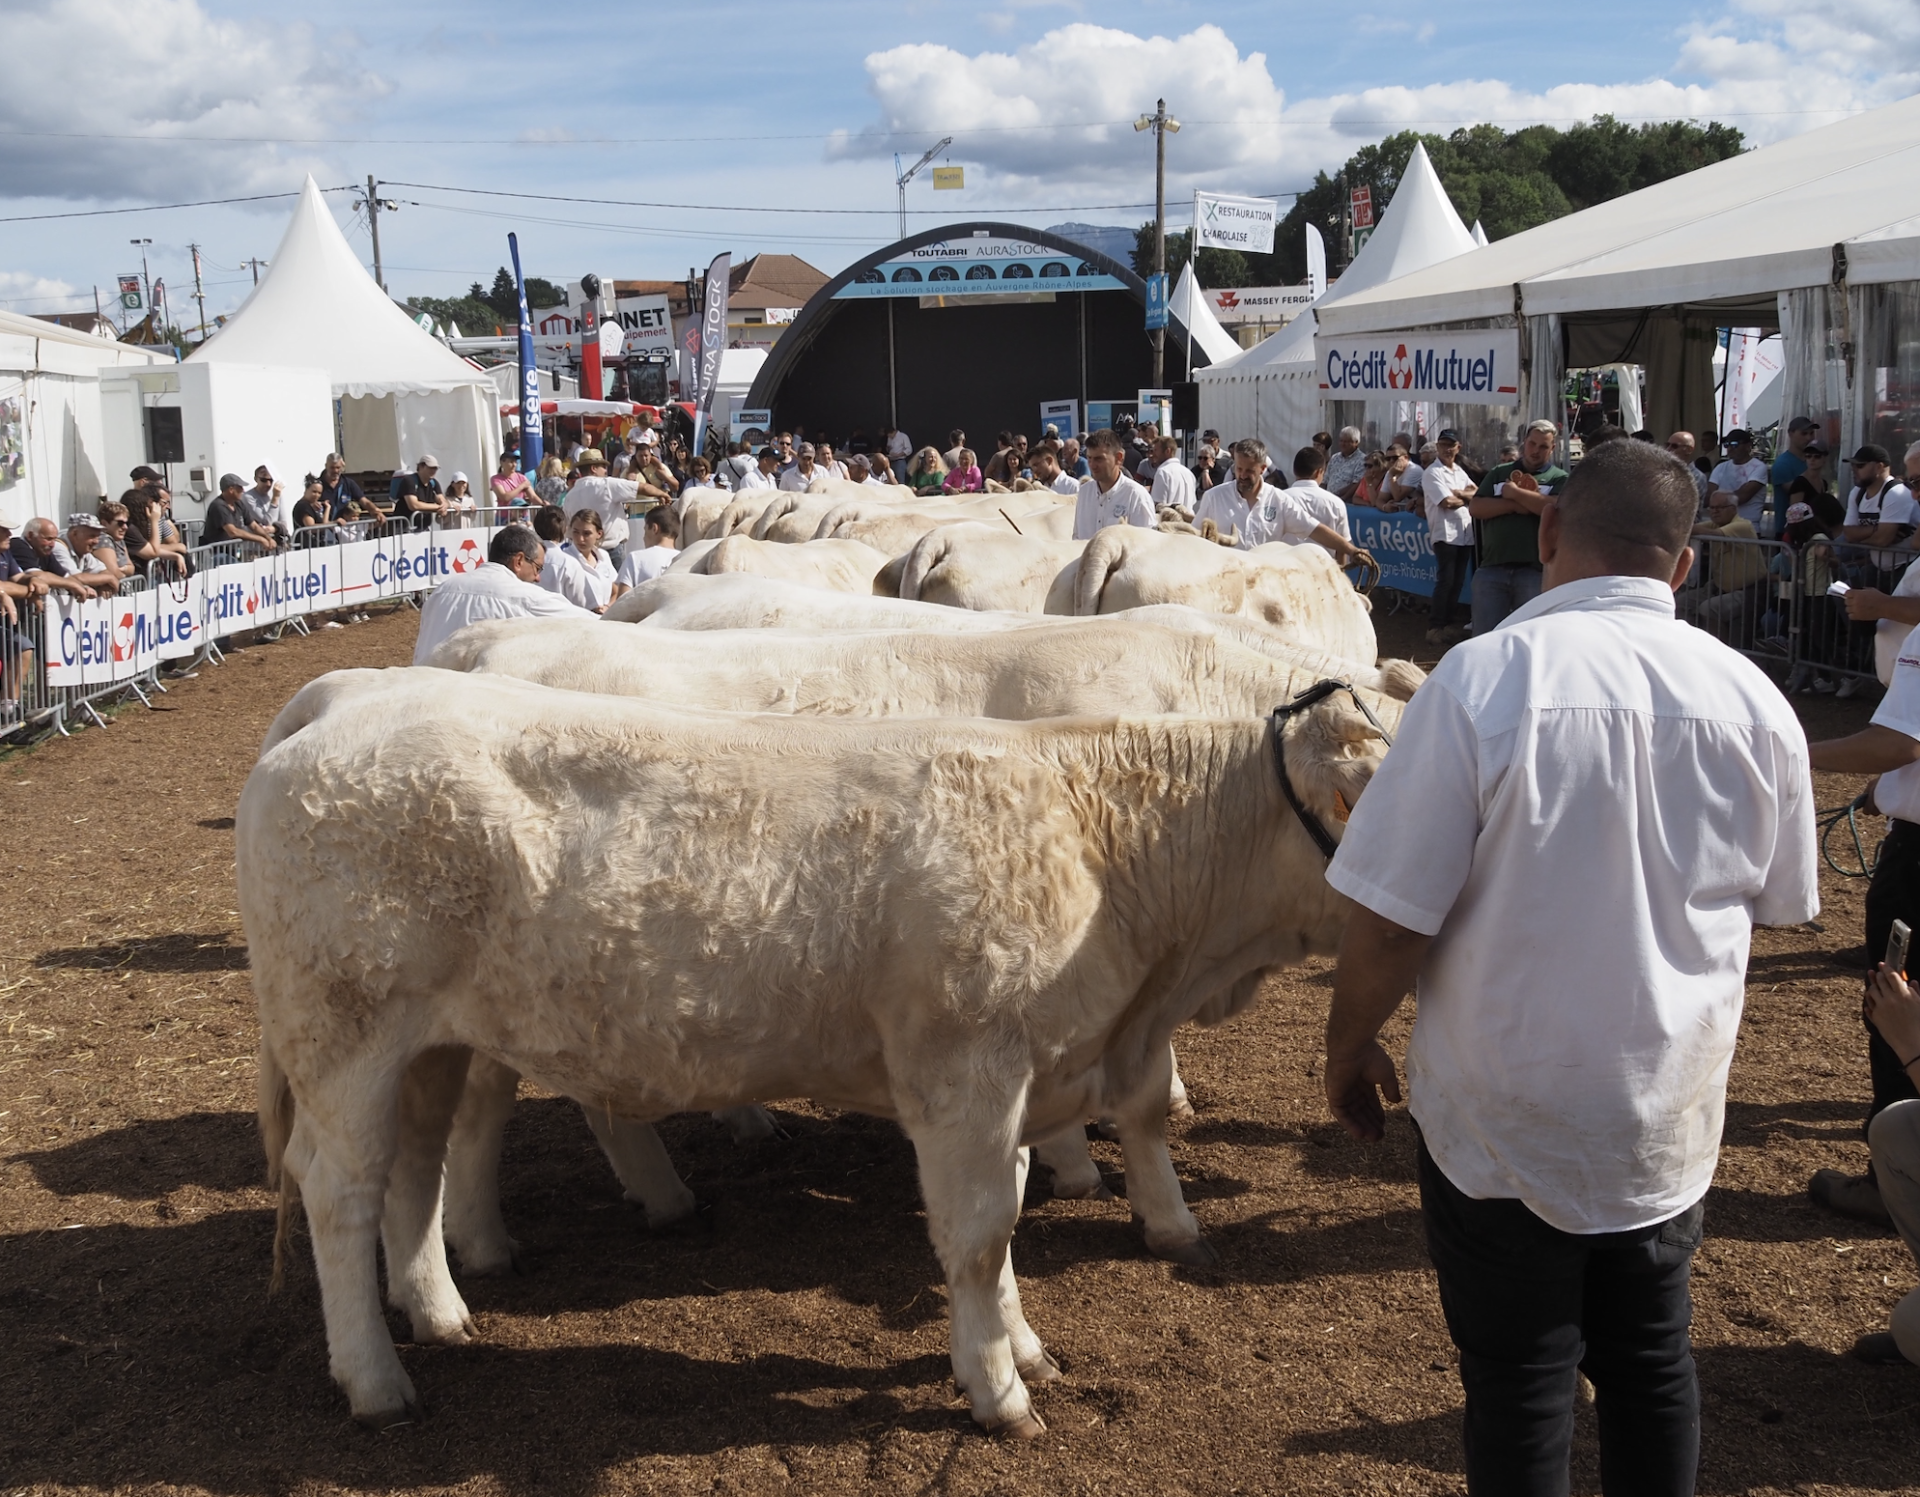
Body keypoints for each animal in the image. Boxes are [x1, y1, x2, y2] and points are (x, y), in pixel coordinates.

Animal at [243, 671, 1382, 1435]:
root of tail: (352, 695)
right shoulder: (966, 1071)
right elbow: (978, 1234)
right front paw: (998, 1389)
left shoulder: (1020, 1075)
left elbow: (1008, 1217)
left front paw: (1020, 1346)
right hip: (344, 1033)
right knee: (339, 1191)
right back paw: (376, 1380)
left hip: (427, 1043)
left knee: (417, 1167)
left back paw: (437, 1312)